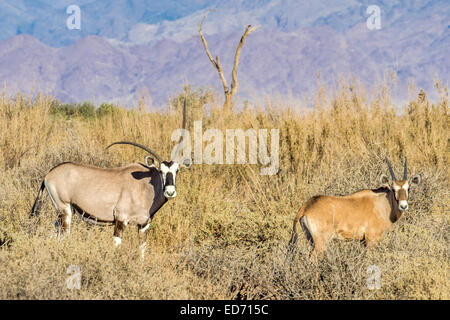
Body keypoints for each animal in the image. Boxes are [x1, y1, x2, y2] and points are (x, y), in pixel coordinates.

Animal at [288, 158, 422, 260]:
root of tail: (306, 206)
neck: (383, 204)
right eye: (393, 189)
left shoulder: (362, 241)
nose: (403, 205)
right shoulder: (371, 240)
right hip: (321, 242)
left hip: (311, 239)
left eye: (408, 188)